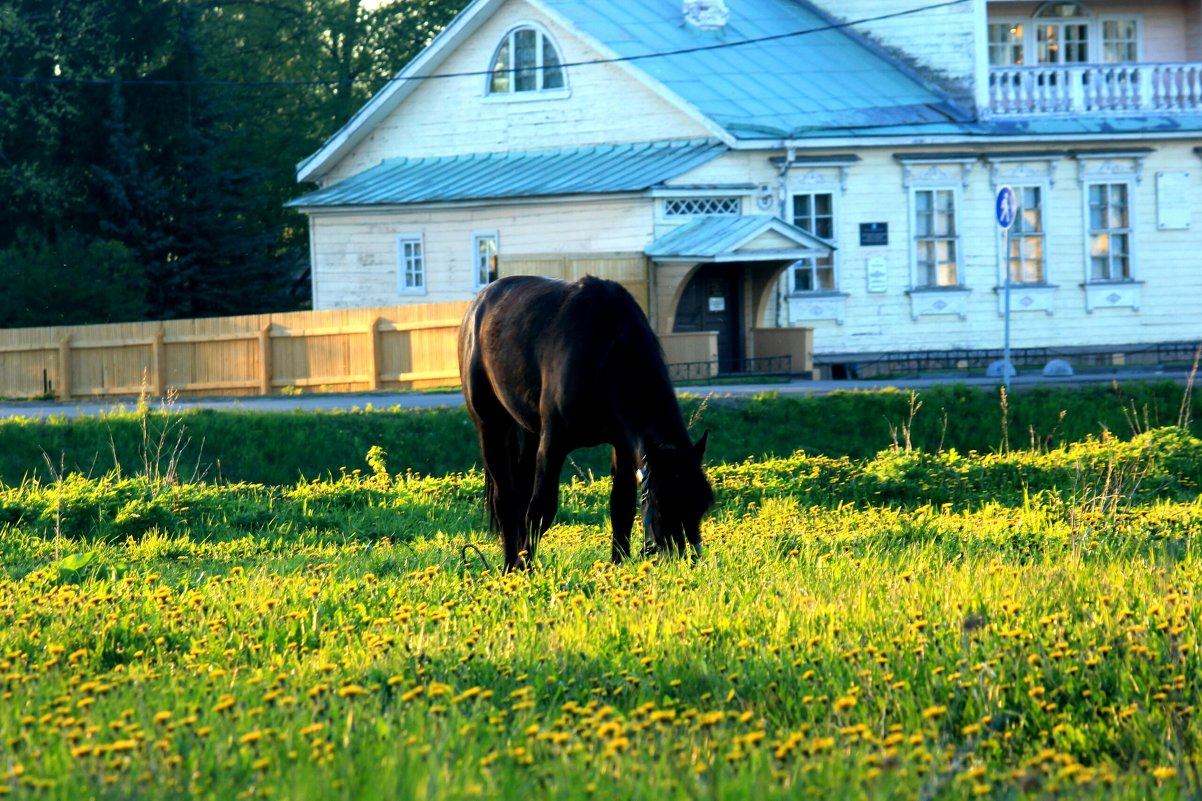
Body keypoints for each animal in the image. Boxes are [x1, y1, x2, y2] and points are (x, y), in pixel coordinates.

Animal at [454, 274, 706, 567]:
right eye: (664, 504)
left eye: (703, 504)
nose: (688, 560)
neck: (606, 351)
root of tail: (478, 304)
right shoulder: (554, 443)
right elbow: (541, 509)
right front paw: (525, 567)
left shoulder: (622, 444)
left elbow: (621, 506)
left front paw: (617, 564)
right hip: (492, 427)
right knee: (505, 498)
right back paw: (510, 565)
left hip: (531, 432)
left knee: (521, 489)